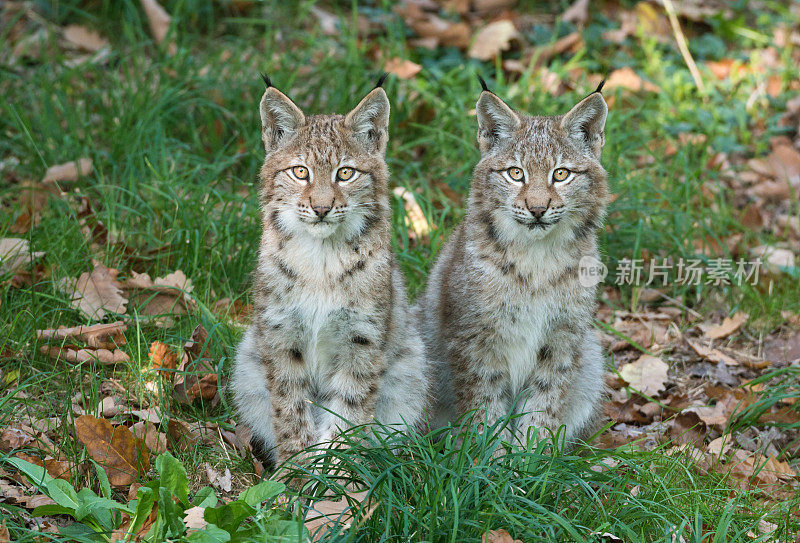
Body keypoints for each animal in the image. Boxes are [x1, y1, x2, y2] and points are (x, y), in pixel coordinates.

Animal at [231, 76, 428, 468]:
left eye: (345, 173)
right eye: (300, 172)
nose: (321, 209)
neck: (321, 257)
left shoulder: (362, 338)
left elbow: (348, 412)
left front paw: (333, 473)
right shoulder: (280, 333)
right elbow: (290, 408)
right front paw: (294, 472)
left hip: (411, 365)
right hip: (246, 361)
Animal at [416, 81, 608, 446]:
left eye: (561, 174)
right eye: (515, 173)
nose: (537, 209)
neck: (537, 255)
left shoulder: (563, 336)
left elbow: (545, 401)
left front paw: (534, 454)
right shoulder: (476, 338)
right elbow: (484, 405)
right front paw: (487, 455)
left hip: (590, 355)